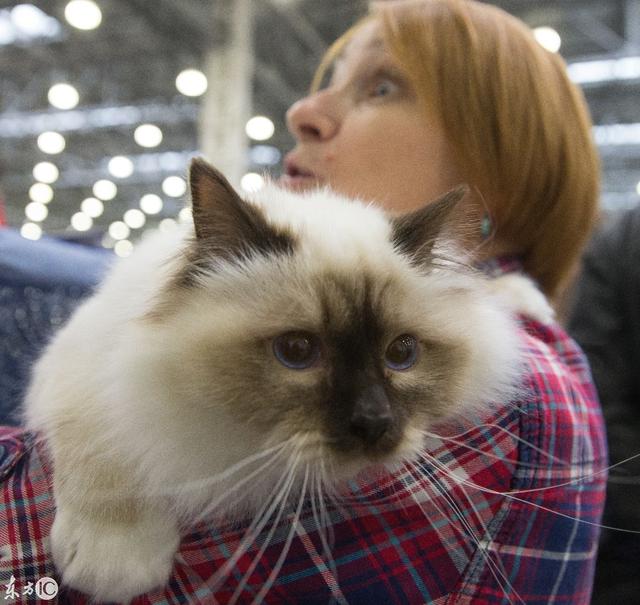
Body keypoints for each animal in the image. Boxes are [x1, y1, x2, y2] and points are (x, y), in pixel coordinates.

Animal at [25, 158, 528, 600]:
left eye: (401, 354)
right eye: (297, 352)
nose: (374, 423)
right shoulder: (80, 368)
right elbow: (104, 447)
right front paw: (113, 562)